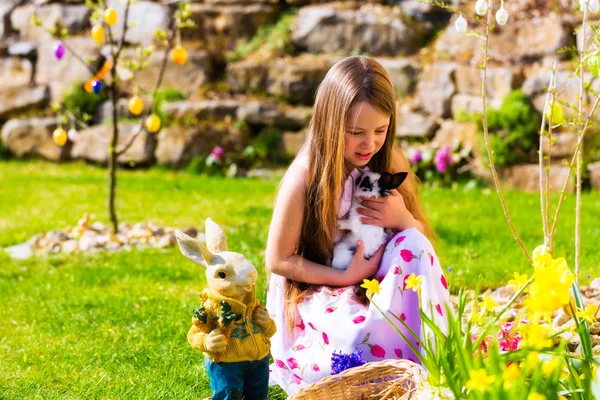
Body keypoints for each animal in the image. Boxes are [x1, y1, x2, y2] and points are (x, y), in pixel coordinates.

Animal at [175, 219, 276, 400]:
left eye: (242, 257)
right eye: (221, 274)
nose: (251, 275)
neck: (241, 304)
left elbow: (270, 327)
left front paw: (261, 316)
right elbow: (194, 335)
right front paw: (214, 340)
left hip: (259, 371)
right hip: (225, 375)